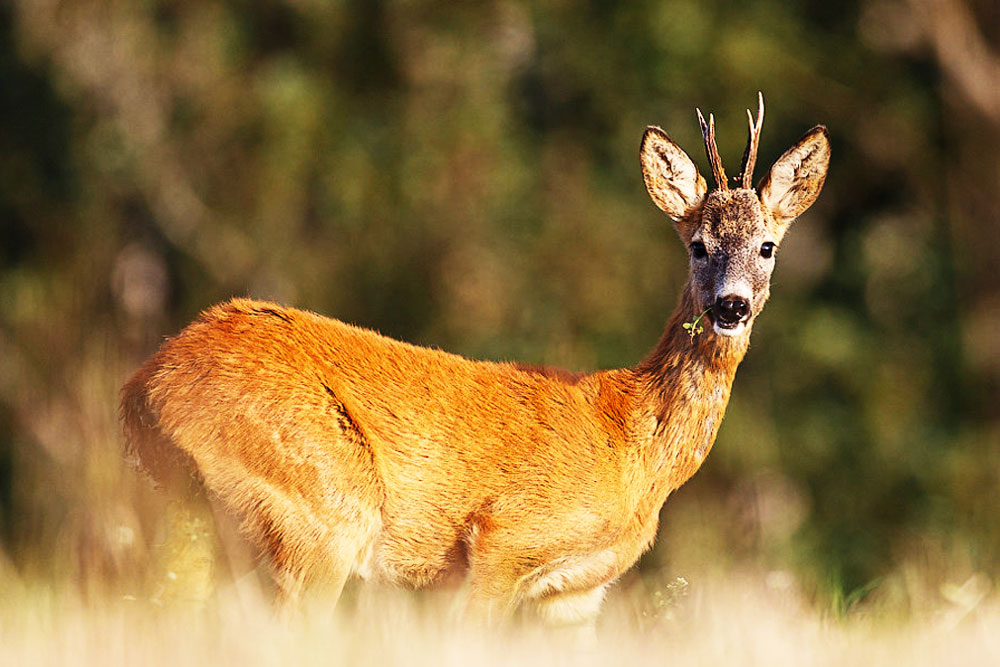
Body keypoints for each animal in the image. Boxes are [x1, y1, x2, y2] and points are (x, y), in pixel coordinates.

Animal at [121, 94, 832, 632]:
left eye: (767, 246)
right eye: (698, 245)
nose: (731, 306)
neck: (632, 445)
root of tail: (145, 384)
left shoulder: (575, 597)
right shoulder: (503, 538)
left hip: (203, 517)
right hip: (319, 508)